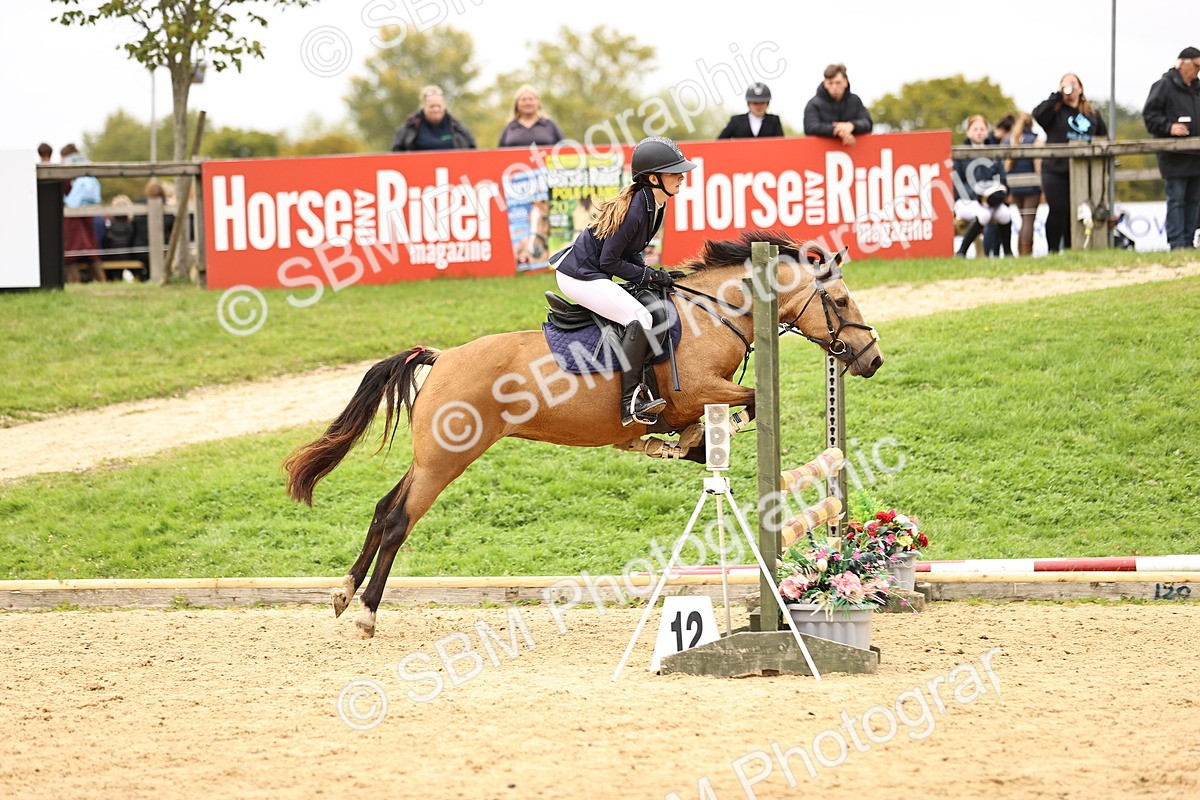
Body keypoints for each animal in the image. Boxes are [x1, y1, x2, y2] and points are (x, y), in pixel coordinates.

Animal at [283, 230, 883, 637]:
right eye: (841, 301)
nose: (872, 358)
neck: (714, 315)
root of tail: (442, 356)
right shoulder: (694, 392)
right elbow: (752, 401)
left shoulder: (693, 405)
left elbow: (704, 437)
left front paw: (676, 445)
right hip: (445, 461)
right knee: (398, 521)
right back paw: (365, 613)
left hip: (432, 457)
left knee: (384, 507)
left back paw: (343, 595)